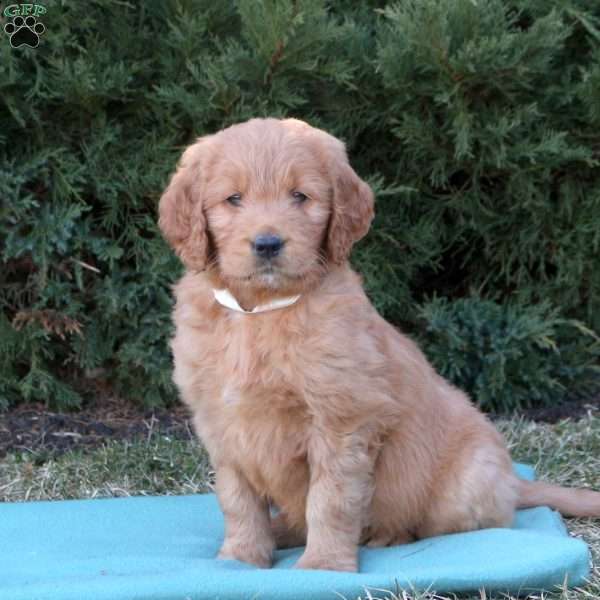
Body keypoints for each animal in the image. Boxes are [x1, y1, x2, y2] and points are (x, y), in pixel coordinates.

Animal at [159, 116, 600, 572]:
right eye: (233, 199)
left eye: (300, 196)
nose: (267, 244)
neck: (260, 312)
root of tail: (513, 479)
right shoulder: (221, 424)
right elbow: (238, 500)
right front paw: (240, 559)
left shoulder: (341, 418)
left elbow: (330, 500)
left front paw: (324, 566)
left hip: (462, 487)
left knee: (451, 523)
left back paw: (387, 535)